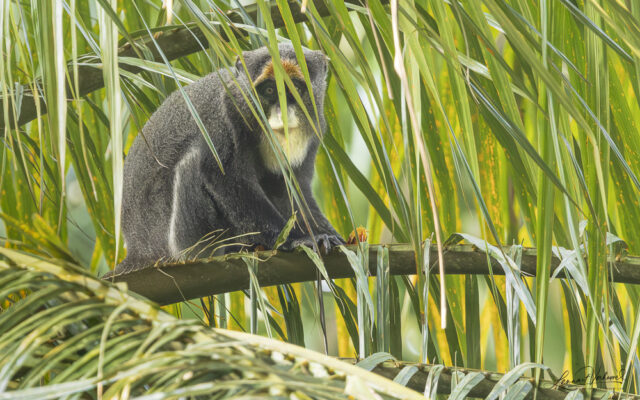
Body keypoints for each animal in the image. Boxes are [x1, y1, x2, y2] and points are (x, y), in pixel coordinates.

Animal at [104, 44, 344, 277]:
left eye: (294, 89)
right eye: (269, 90)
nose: (282, 113)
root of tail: (138, 252)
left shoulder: (316, 128)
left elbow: (291, 189)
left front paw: (326, 235)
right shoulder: (224, 116)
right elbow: (224, 178)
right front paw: (294, 239)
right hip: (181, 241)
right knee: (193, 164)